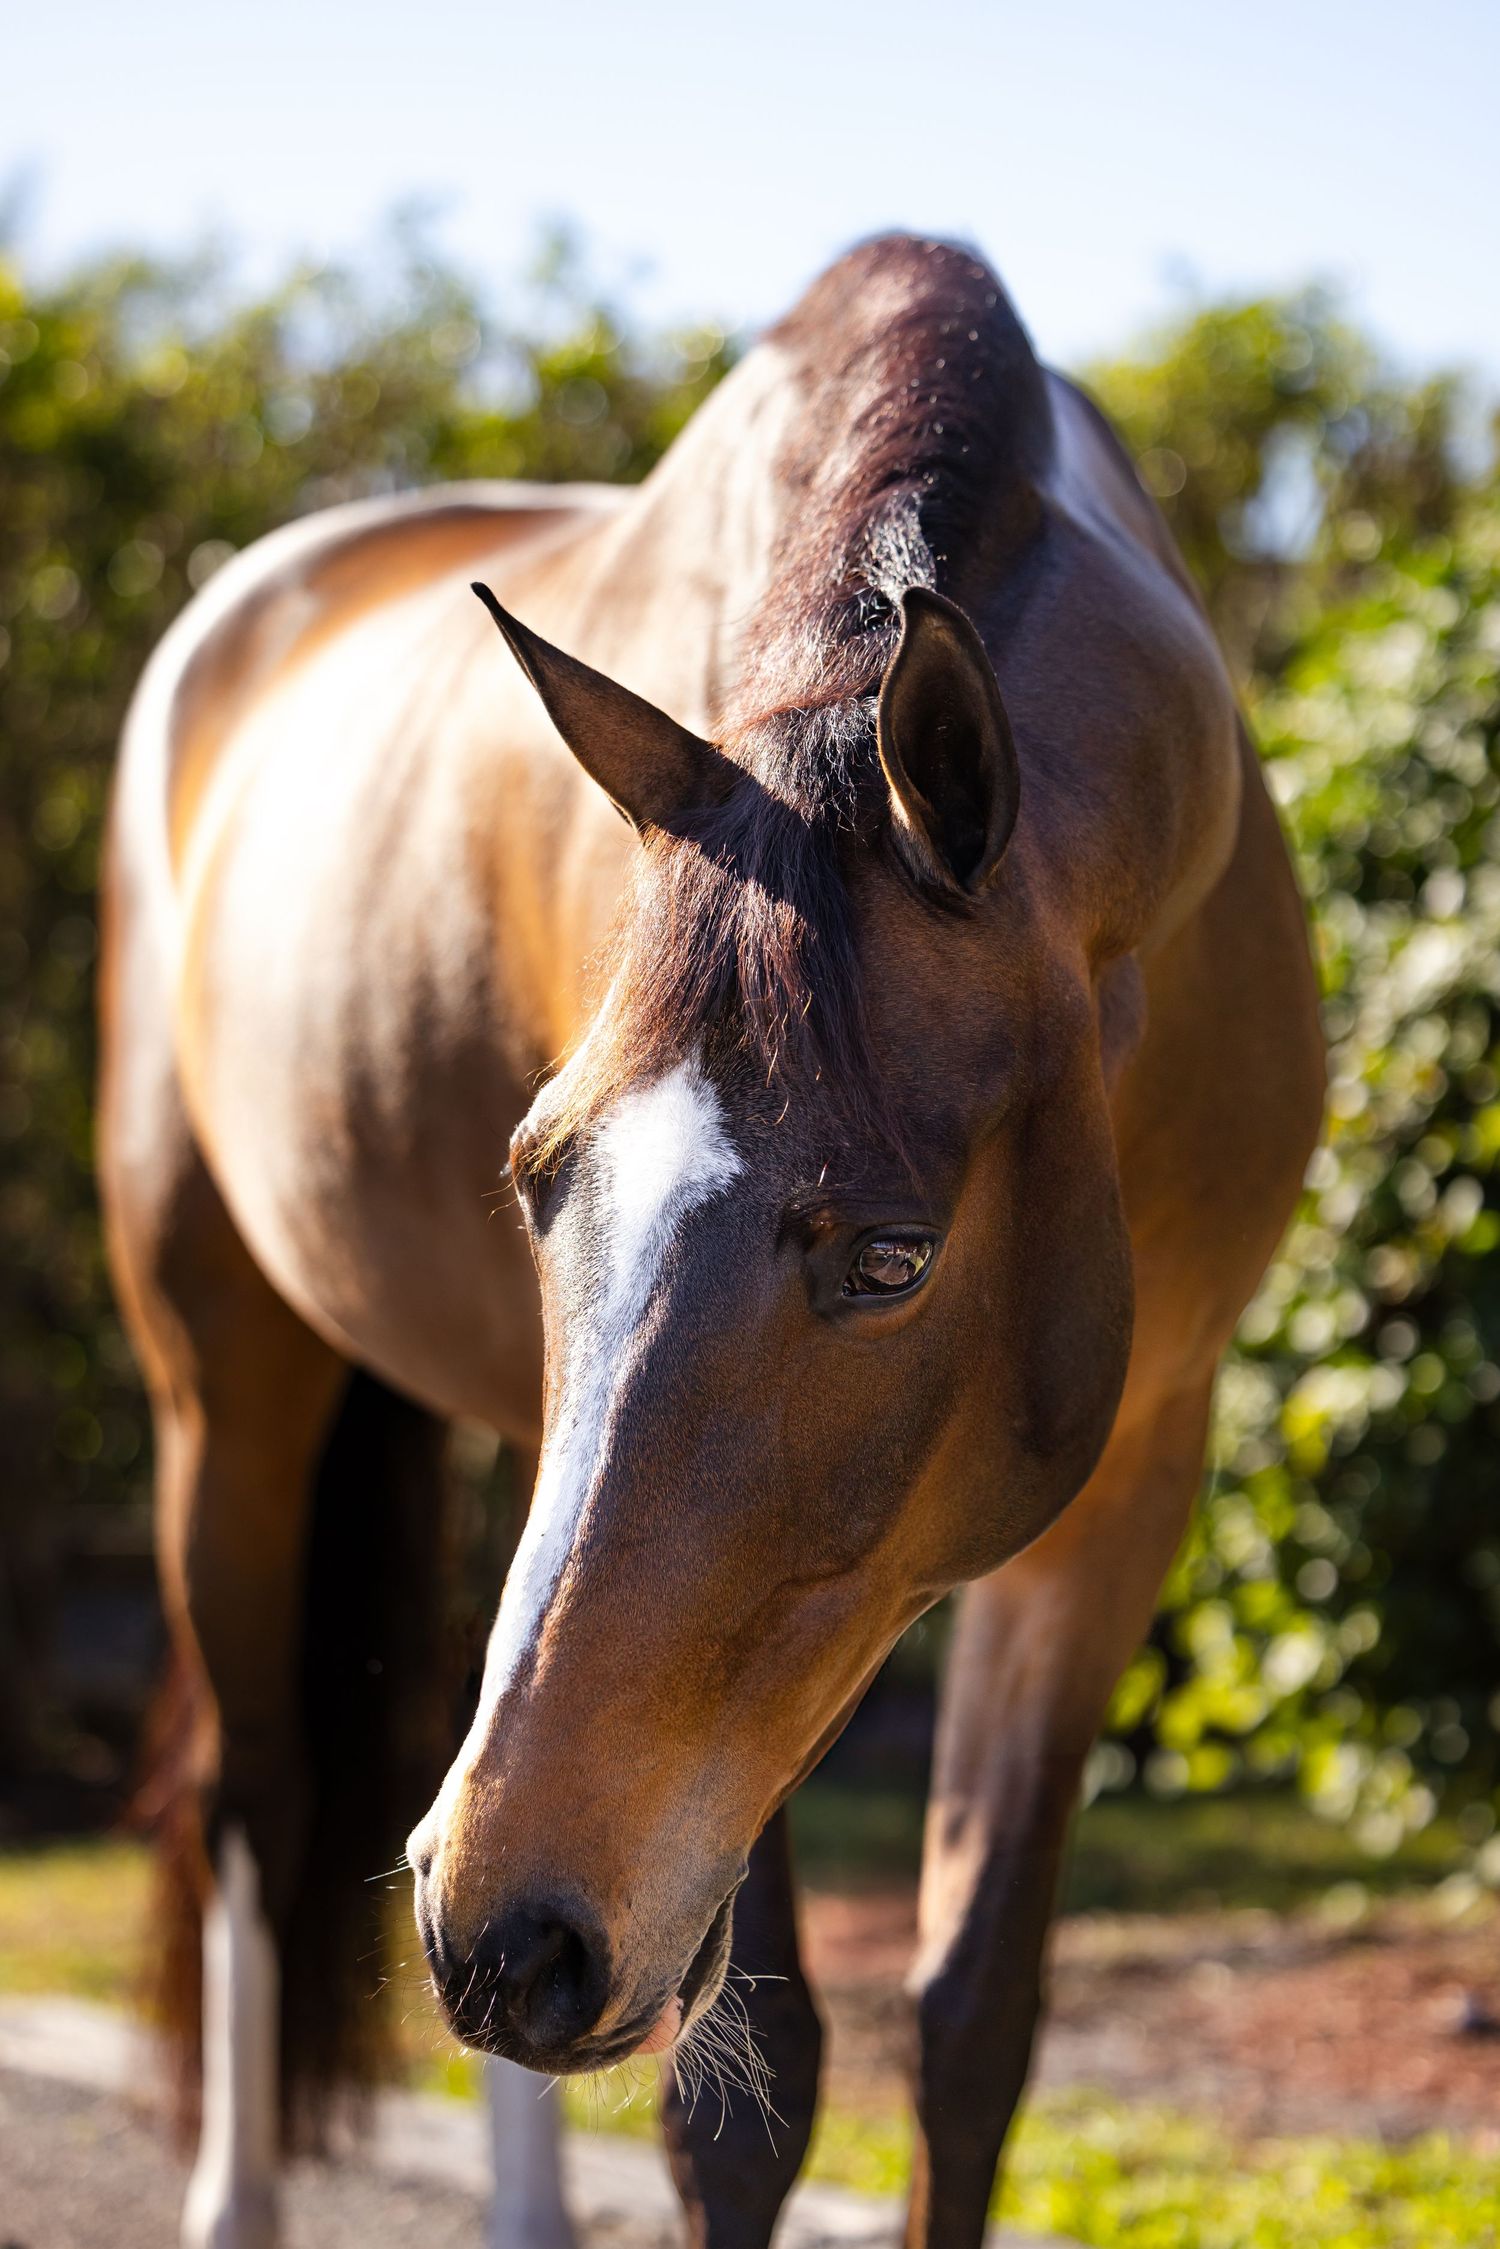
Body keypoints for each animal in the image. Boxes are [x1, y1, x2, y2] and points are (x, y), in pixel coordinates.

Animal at [99, 232, 1323, 2249]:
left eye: (894, 1257)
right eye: (540, 1176)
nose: (494, 1930)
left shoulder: (1130, 1476)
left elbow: (973, 2027)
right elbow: (747, 2102)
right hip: (223, 1381)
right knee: (258, 1805)